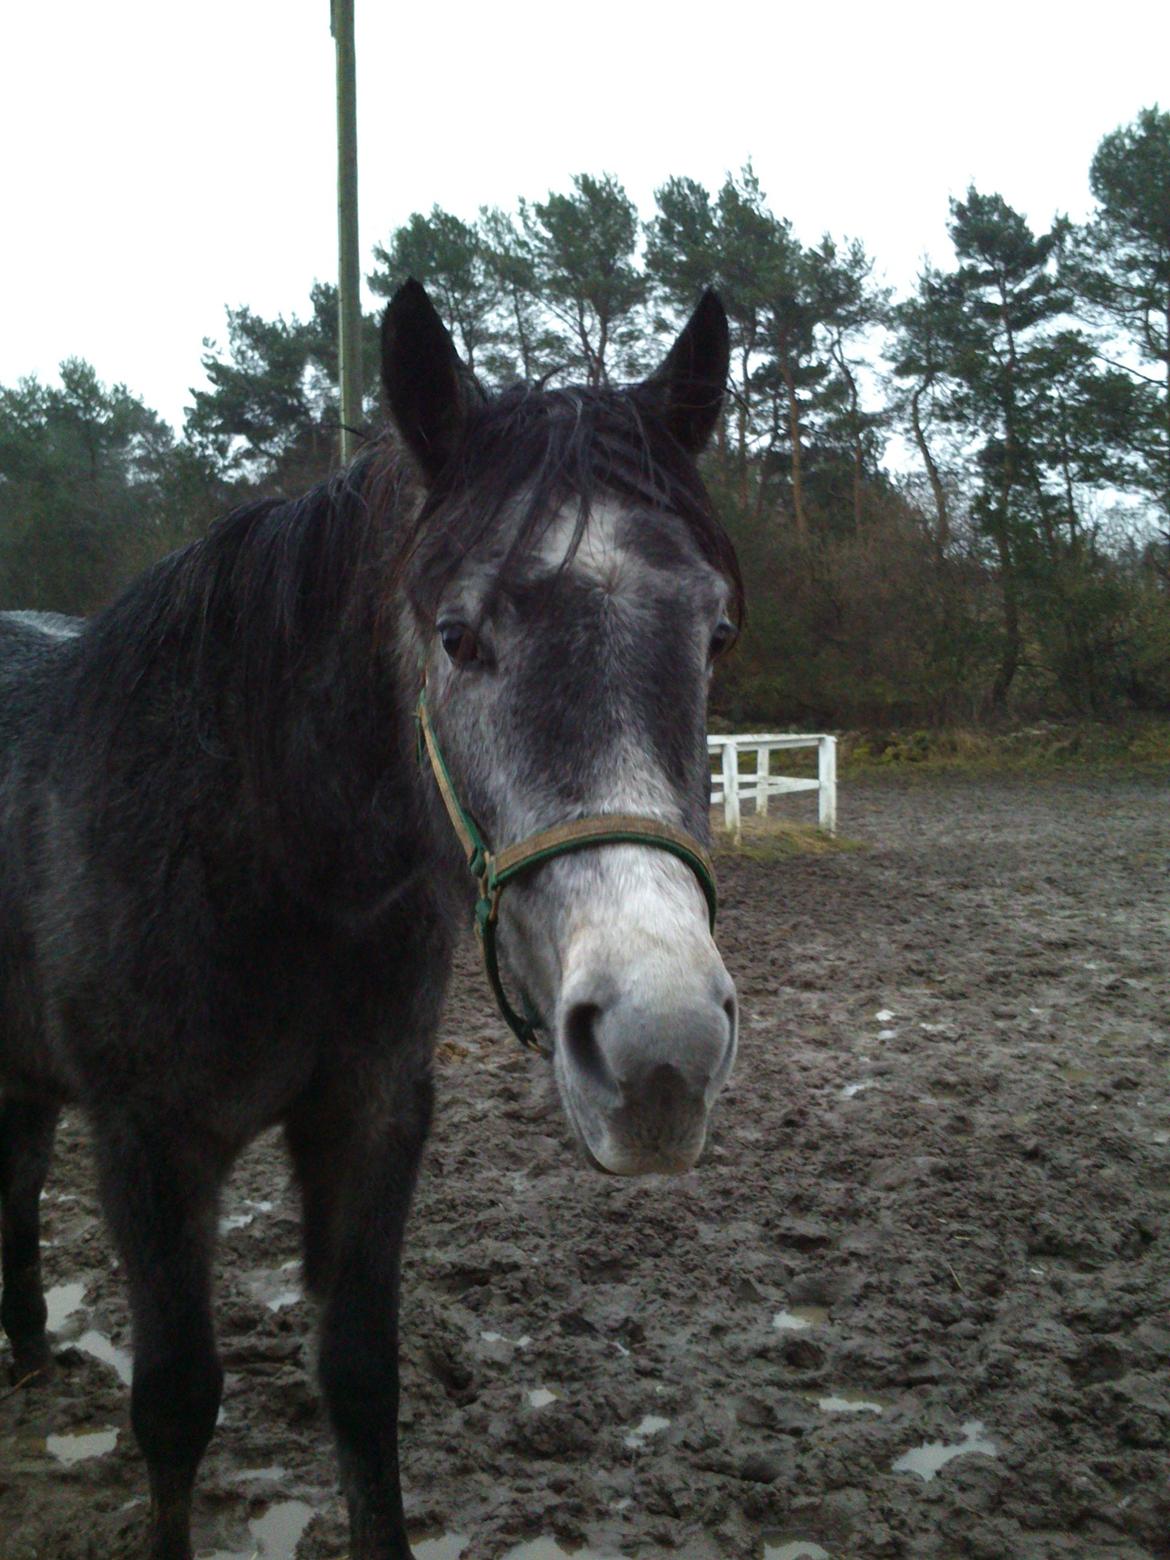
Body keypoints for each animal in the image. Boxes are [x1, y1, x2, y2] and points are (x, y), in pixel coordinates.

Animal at [2, 283, 742, 1560]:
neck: (262, 857)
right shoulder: (146, 1140)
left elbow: (359, 1379)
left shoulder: (374, 1115)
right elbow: (174, 1404)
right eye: (458, 636)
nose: (662, 1054)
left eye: (714, 637)